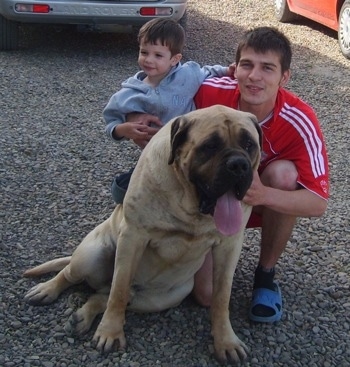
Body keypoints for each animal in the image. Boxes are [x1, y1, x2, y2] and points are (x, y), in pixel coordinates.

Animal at [23, 105, 262, 366]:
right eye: (210, 146)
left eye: (249, 144)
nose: (238, 165)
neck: (190, 206)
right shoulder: (133, 236)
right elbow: (118, 289)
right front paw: (110, 332)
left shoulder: (229, 246)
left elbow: (221, 298)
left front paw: (226, 342)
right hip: (91, 255)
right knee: (74, 276)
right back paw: (47, 290)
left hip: (168, 296)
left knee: (102, 295)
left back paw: (82, 317)